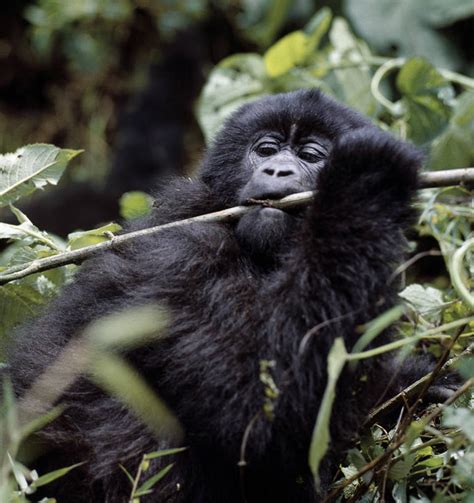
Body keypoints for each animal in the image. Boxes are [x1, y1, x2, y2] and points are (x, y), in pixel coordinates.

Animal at [7, 88, 446, 502]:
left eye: (309, 155)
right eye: (265, 150)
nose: (276, 169)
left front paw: (424, 383)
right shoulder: (183, 252)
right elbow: (252, 411)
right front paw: (368, 176)